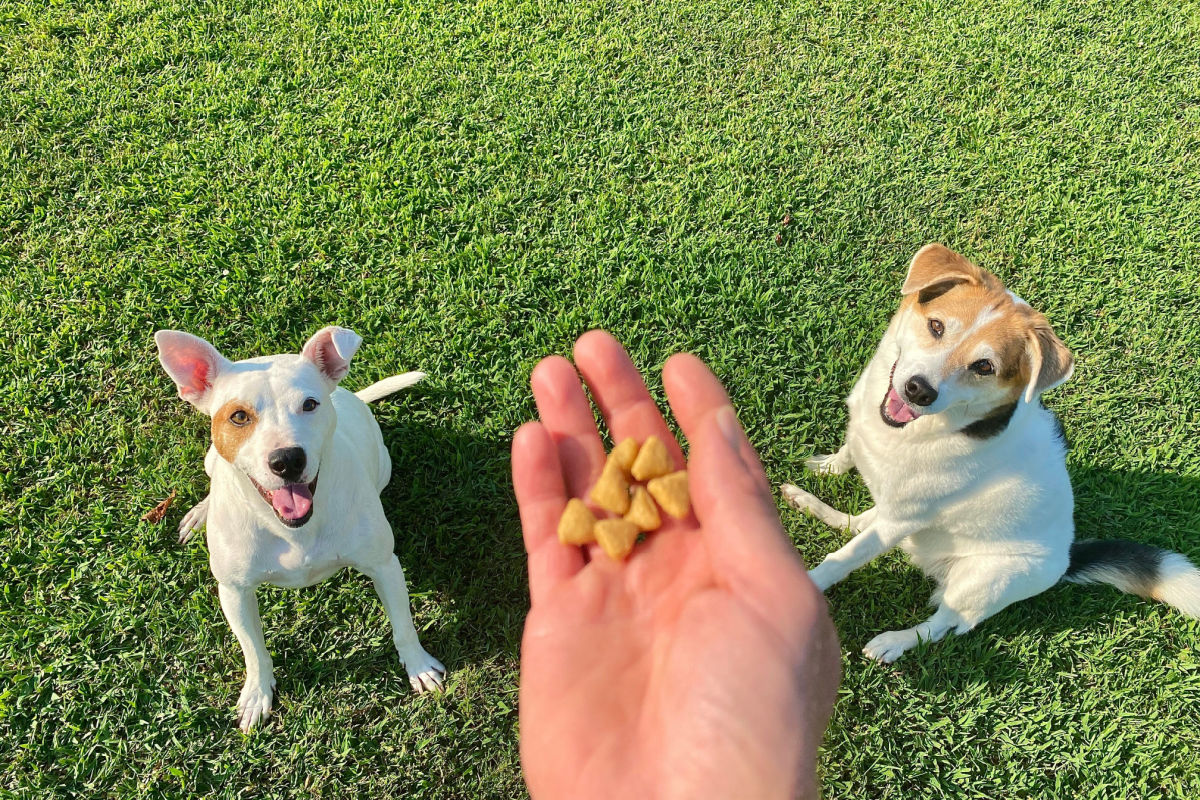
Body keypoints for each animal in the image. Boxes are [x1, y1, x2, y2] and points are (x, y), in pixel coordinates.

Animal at [154, 326, 446, 734]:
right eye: (239, 416)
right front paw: (257, 694)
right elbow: (253, 650)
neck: (291, 528)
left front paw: (418, 666)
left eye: (310, 404)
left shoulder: (384, 566)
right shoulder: (234, 591)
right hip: (212, 459)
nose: (287, 459)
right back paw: (201, 513)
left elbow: (403, 624)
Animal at [782, 244, 1195, 662]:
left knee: (942, 626)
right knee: (857, 524)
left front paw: (806, 589)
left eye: (984, 366)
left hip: (981, 580)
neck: (924, 429)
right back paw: (809, 502)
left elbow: (841, 560)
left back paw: (893, 643)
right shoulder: (882, 483)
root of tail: (1067, 559)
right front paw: (828, 468)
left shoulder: (901, 520)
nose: (919, 390)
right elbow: (849, 454)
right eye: (936, 327)